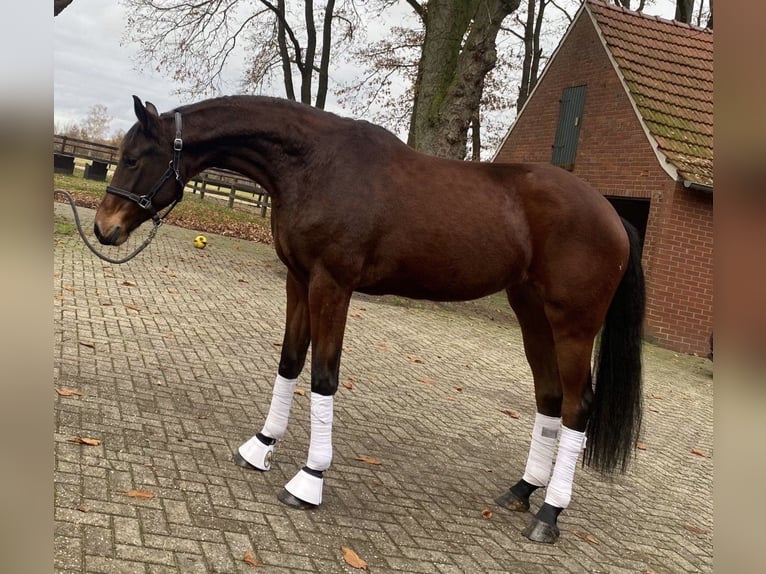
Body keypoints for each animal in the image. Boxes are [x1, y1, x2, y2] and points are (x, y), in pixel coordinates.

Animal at [94, 95, 645, 544]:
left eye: (134, 158)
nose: (104, 229)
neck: (316, 164)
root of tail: (613, 215)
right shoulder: (298, 280)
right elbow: (290, 363)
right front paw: (261, 447)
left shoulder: (331, 286)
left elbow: (324, 376)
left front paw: (309, 479)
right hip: (531, 311)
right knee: (549, 398)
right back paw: (523, 490)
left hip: (574, 324)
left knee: (576, 407)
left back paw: (550, 513)